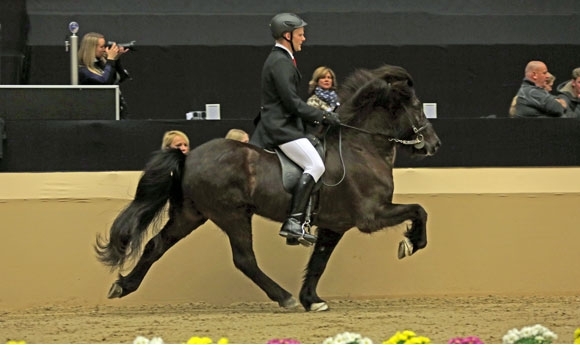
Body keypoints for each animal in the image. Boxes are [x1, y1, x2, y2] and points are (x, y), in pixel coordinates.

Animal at [96, 63, 440, 310]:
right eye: (418, 107)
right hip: (232, 215)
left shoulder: (335, 225)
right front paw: (411, 243)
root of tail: (189, 155)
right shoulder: (371, 215)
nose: (434, 144)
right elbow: (420, 210)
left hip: (191, 214)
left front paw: (311, 300)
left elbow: (319, 262)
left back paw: (123, 286)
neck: (361, 147)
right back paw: (283, 297)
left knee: (156, 245)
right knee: (244, 259)